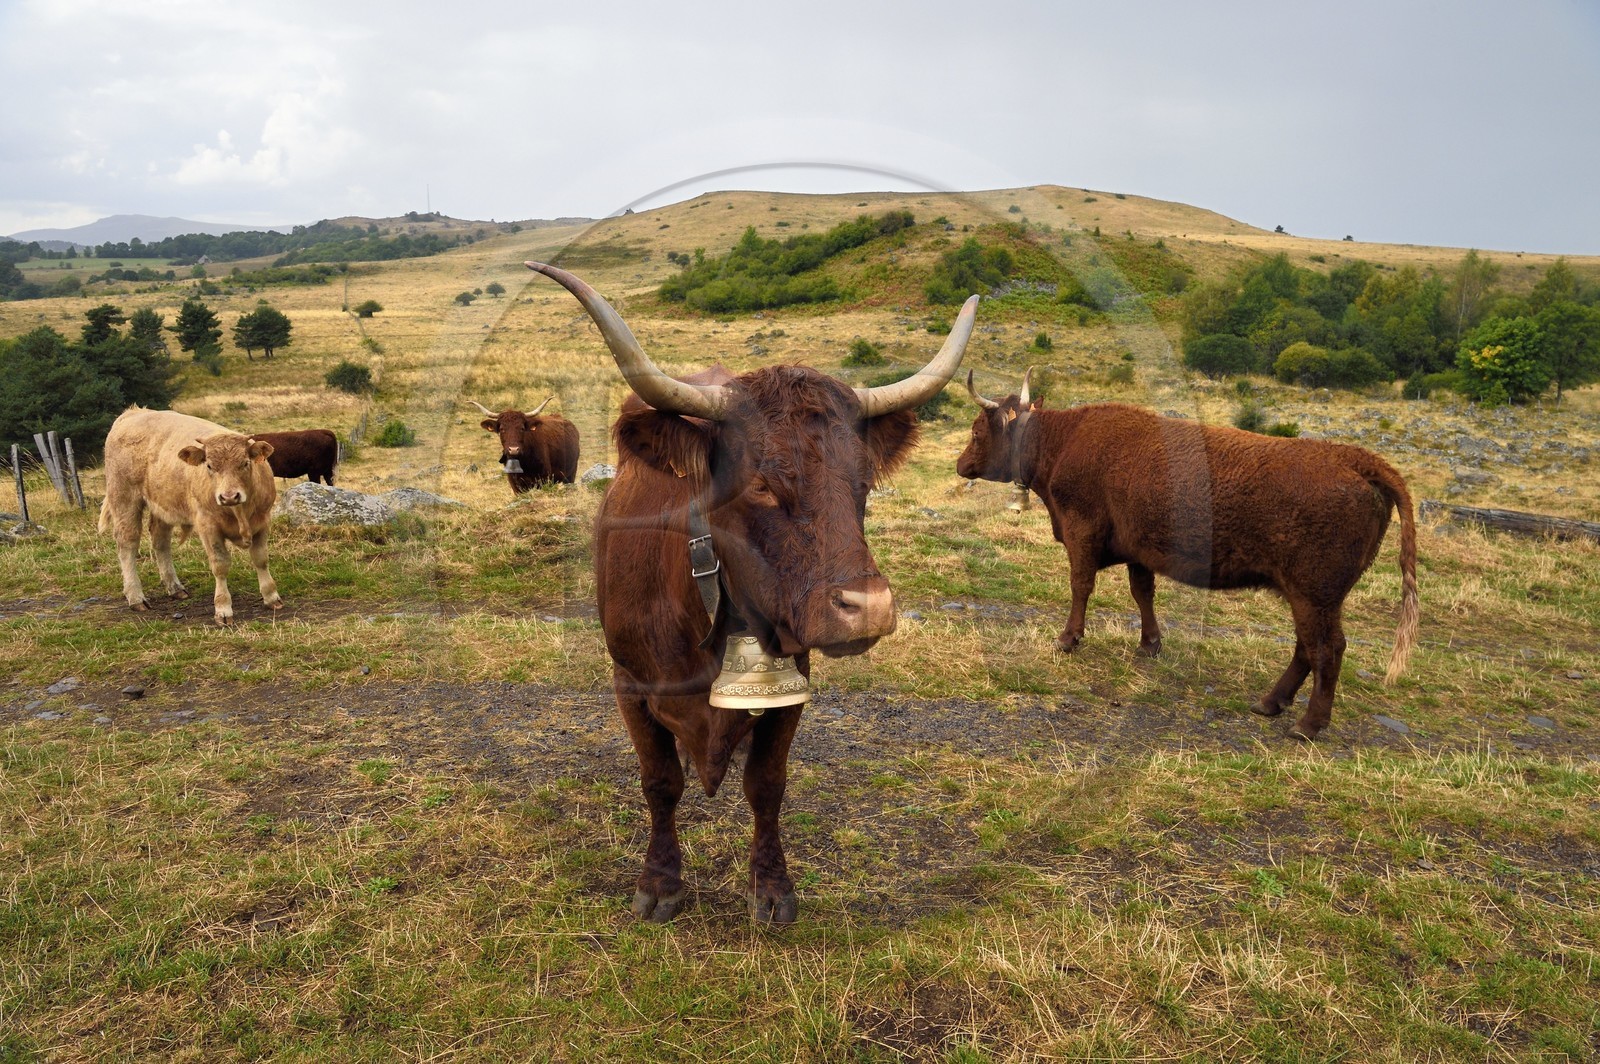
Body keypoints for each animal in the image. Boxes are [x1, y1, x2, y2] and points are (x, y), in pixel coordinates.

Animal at [98, 406, 284, 626]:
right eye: (209, 466)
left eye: (245, 463)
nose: (229, 496)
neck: (240, 514)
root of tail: (132, 412)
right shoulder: (208, 526)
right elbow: (220, 566)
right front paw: (223, 609)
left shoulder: (263, 521)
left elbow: (261, 559)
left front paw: (271, 597)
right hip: (124, 498)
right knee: (127, 544)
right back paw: (136, 597)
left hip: (162, 505)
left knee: (160, 541)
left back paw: (175, 588)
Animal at [525, 260, 977, 925]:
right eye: (760, 484)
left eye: (863, 481)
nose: (868, 609)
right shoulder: (629, 684)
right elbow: (660, 782)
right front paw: (660, 883)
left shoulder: (793, 683)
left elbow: (766, 785)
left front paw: (771, 887)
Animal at [956, 370, 1418, 741]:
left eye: (977, 432)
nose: (960, 465)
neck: (1064, 441)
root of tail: (1353, 457)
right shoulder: (1138, 547)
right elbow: (1143, 593)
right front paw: (1149, 644)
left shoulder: (1081, 531)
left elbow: (1081, 586)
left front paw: (1069, 638)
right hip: (1312, 596)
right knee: (1308, 646)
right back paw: (1272, 701)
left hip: (1315, 592)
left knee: (1327, 648)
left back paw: (1309, 723)